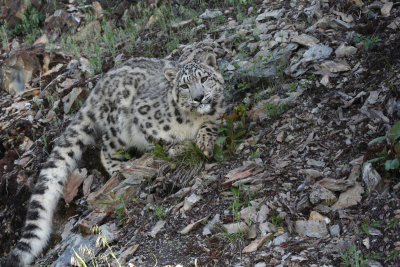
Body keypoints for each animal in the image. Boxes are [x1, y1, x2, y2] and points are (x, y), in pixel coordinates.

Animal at [5, 53, 225, 266]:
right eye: (184, 86)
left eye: (204, 79)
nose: (199, 97)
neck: (193, 120)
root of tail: (97, 88)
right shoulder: (143, 117)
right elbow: (160, 141)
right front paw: (179, 146)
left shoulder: (219, 114)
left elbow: (211, 124)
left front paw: (204, 143)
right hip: (117, 127)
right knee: (106, 150)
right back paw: (121, 166)